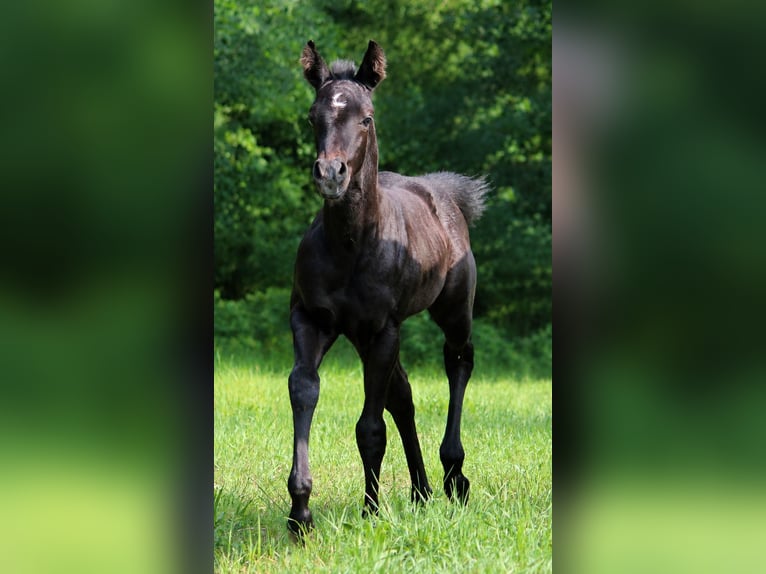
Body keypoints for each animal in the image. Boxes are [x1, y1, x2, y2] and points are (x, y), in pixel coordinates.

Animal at [287, 40, 489, 535]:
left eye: (366, 117)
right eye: (313, 116)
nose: (331, 174)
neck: (351, 248)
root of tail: (443, 194)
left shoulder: (382, 329)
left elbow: (369, 427)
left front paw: (371, 510)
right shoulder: (311, 320)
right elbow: (304, 388)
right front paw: (300, 511)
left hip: (451, 313)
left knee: (458, 362)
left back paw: (453, 476)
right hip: (369, 336)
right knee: (404, 396)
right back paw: (420, 491)